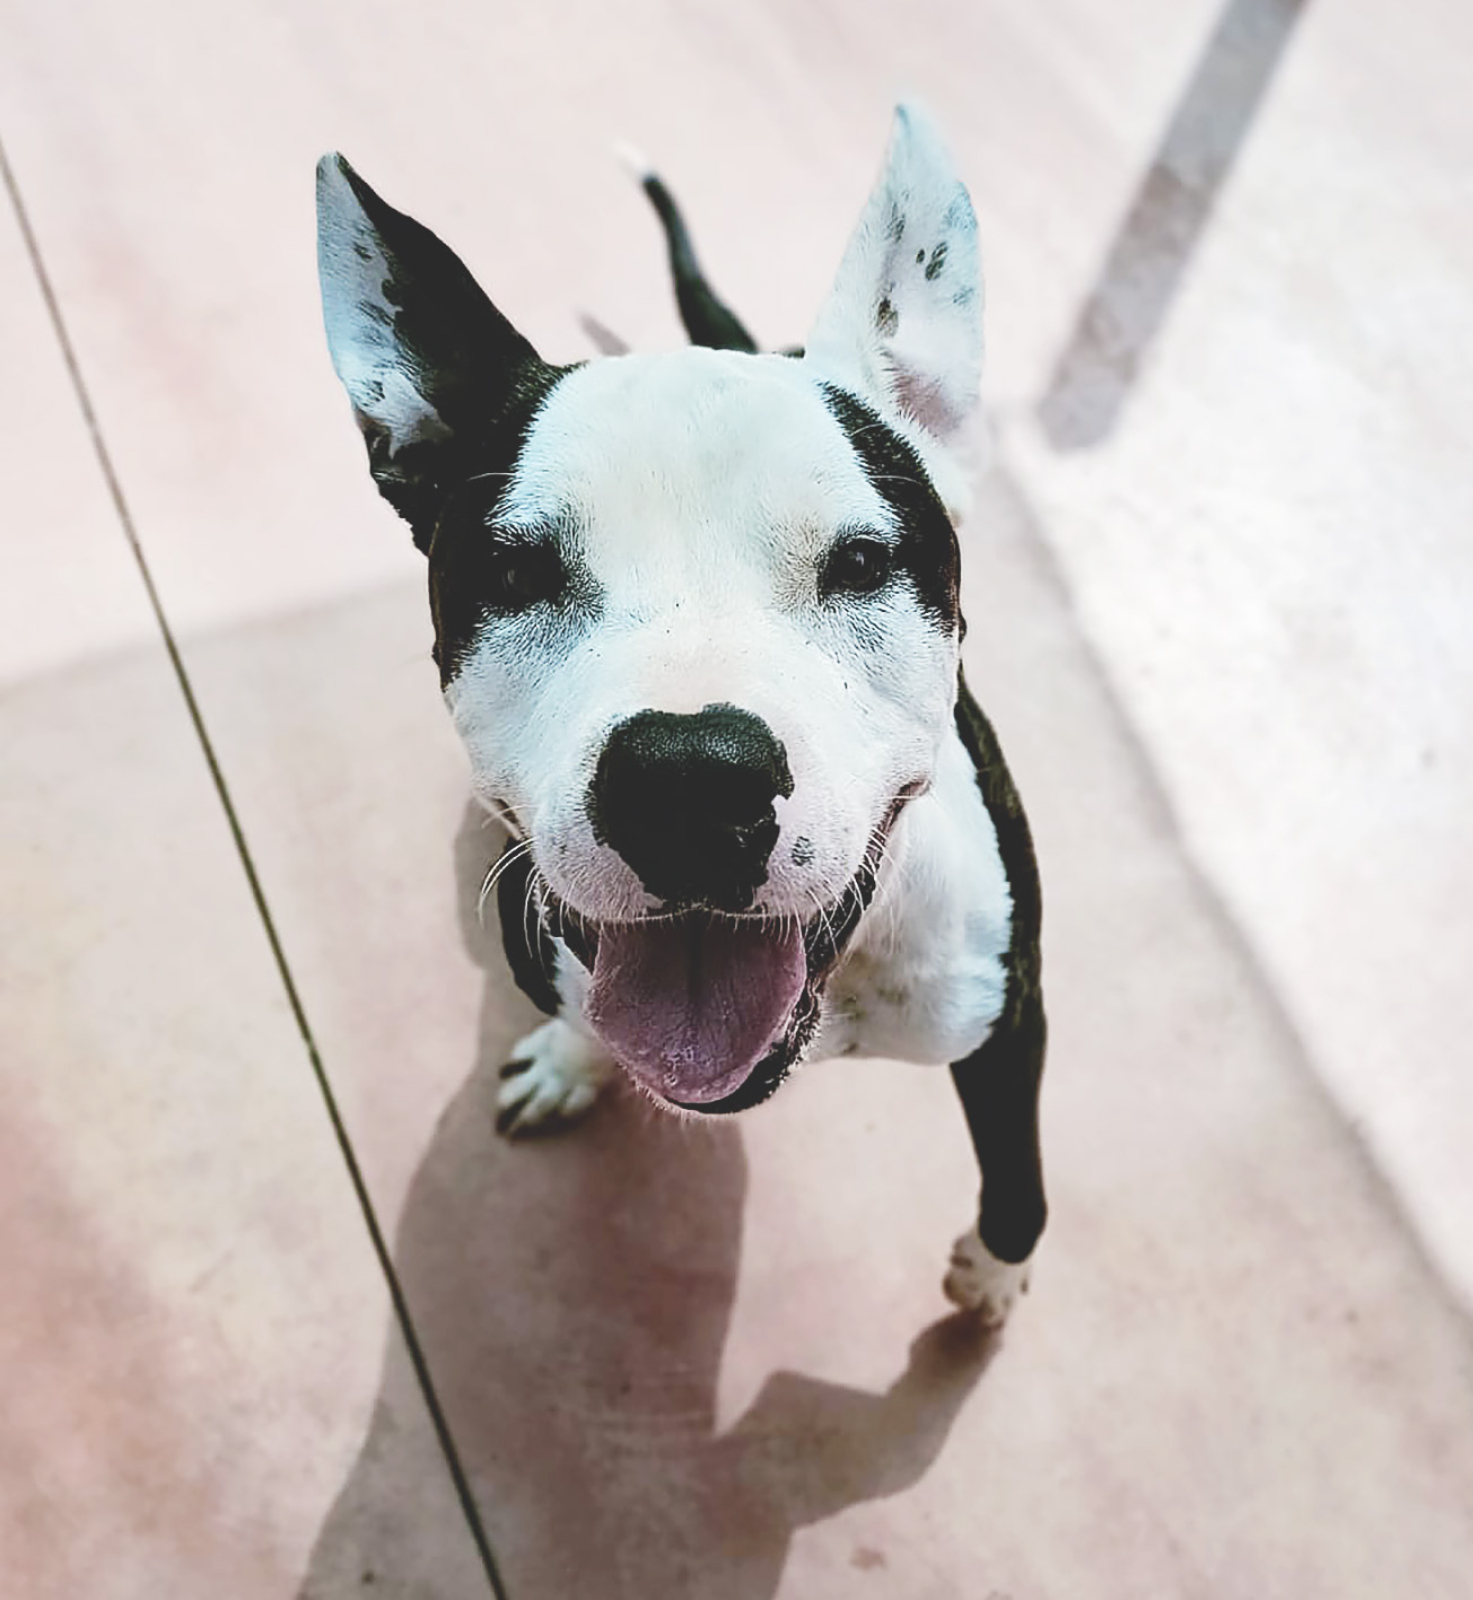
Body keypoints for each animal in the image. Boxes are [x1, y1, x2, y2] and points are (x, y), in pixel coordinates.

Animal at [315, 105, 1045, 1326]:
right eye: (513, 575)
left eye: (860, 563)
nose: (690, 780)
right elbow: (585, 1009)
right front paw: (573, 1060)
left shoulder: (1008, 1015)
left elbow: (1020, 1184)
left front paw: (994, 1277)